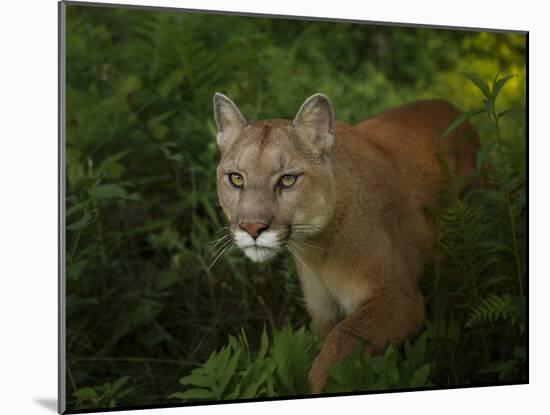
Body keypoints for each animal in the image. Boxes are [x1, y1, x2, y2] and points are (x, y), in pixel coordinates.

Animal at [213, 92, 480, 394]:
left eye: (288, 179)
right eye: (236, 178)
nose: (252, 227)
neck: (317, 252)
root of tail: (451, 106)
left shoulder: (399, 298)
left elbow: (339, 347)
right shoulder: (323, 313)